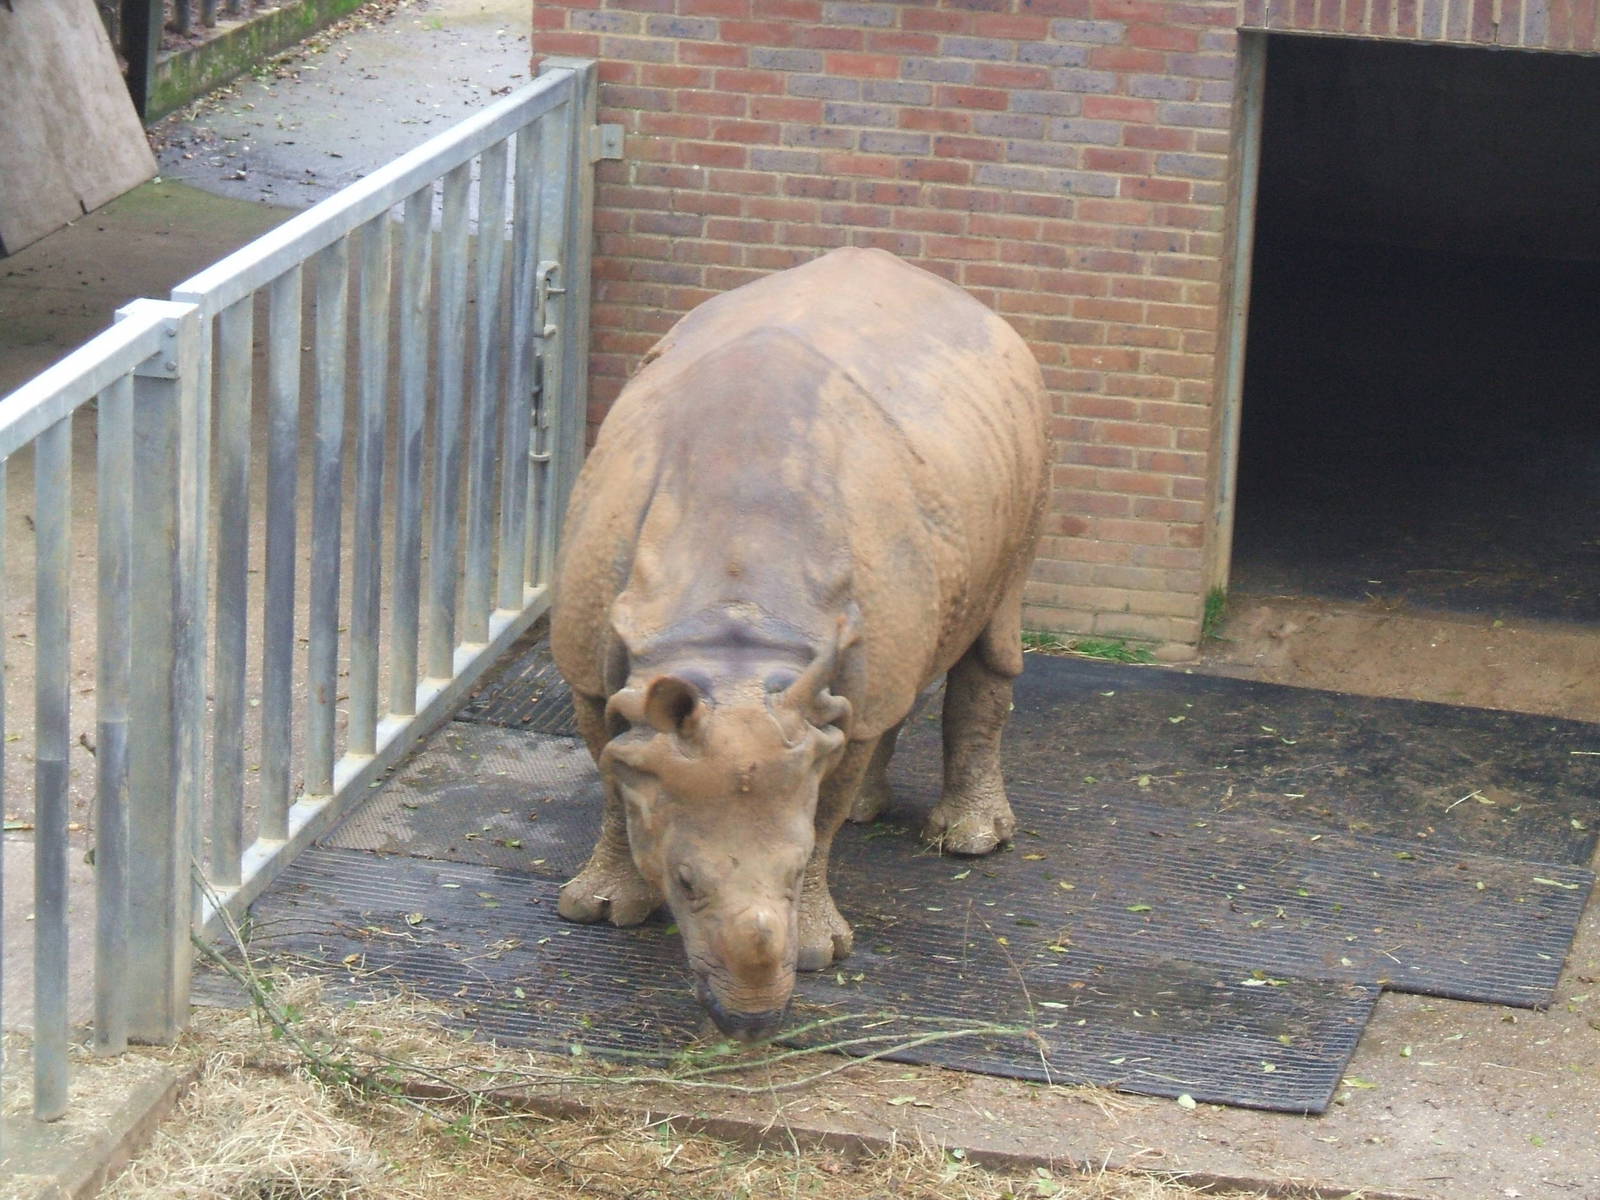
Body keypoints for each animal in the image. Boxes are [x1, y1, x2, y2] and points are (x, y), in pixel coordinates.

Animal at [550, 246, 1049, 1040]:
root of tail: (962, 299)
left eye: (789, 876)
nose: (750, 1022)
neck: (735, 640)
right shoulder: (595, 666)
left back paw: (968, 841)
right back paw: (879, 808)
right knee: (886, 686)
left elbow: (820, 813)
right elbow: (610, 774)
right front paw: (599, 911)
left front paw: (818, 951)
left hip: (1029, 441)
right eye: (685, 881)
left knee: (984, 637)